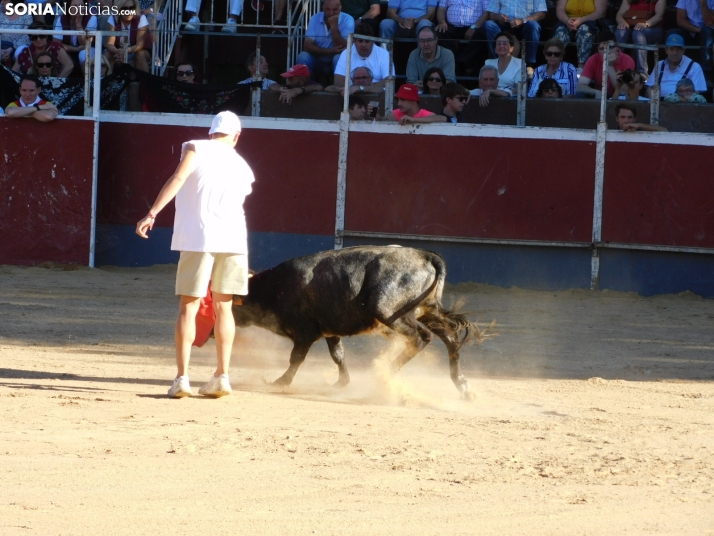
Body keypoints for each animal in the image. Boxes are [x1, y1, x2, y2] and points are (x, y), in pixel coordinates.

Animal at [231, 245, 486, 396]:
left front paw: (280, 381)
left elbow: (296, 358)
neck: (273, 288)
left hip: (388, 311)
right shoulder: (330, 331)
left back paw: (385, 374)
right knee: (451, 340)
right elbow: (338, 355)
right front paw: (341, 383)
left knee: (421, 337)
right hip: (426, 311)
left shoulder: (304, 333)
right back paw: (462, 385)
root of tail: (426, 255)